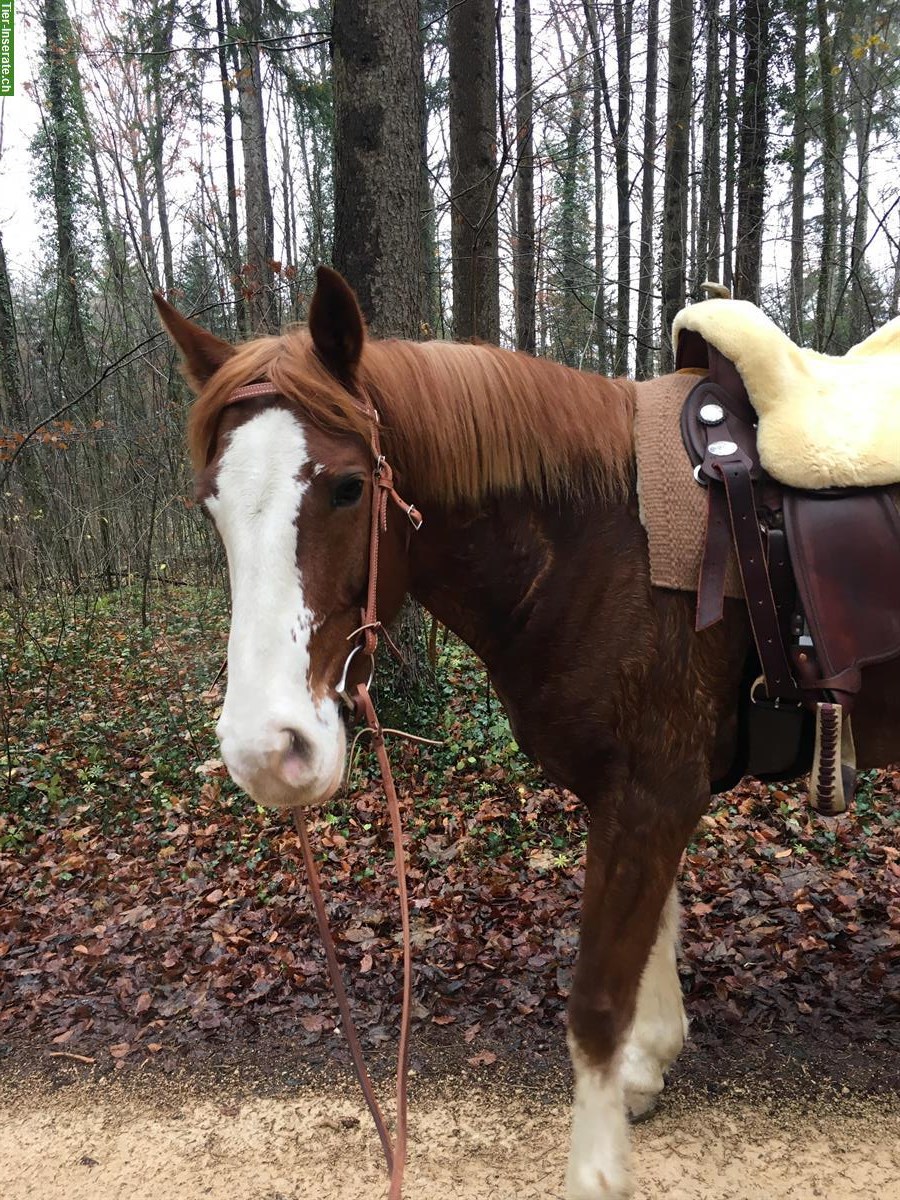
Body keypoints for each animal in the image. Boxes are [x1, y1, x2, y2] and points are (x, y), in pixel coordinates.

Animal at [157, 270, 900, 1200]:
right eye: (211, 504)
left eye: (348, 487)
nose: (267, 749)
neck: (609, 544)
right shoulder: (644, 798)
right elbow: (655, 934)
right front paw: (648, 1069)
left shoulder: (651, 794)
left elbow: (597, 1004)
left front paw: (598, 1167)